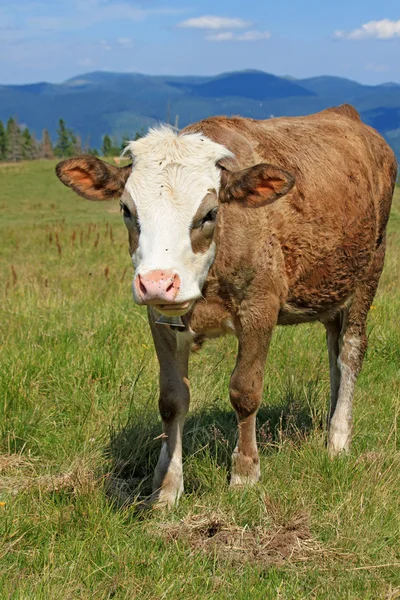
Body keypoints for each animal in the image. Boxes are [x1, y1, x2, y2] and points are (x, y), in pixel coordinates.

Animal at [56, 104, 396, 506]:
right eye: (126, 209)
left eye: (209, 213)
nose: (157, 282)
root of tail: (345, 114)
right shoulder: (159, 319)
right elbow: (172, 399)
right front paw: (167, 487)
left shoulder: (260, 308)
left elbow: (245, 392)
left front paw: (245, 474)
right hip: (332, 284)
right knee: (334, 354)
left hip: (368, 272)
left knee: (350, 351)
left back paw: (338, 440)